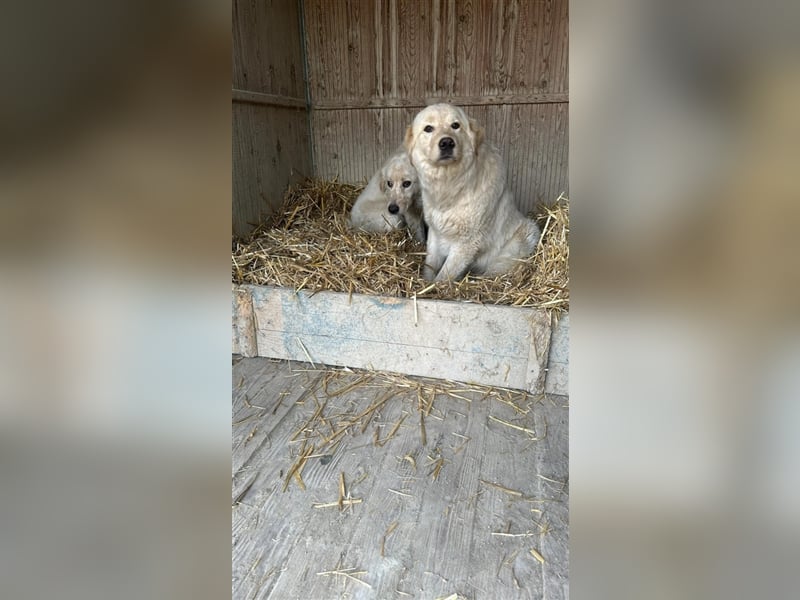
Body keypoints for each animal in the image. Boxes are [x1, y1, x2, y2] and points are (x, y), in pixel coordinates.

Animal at [406, 103, 536, 282]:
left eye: (455, 125)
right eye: (428, 128)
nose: (447, 142)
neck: (450, 183)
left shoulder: (466, 244)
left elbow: (443, 277)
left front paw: (435, 286)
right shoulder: (435, 233)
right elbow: (429, 266)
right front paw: (425, 282)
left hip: (526, 234)